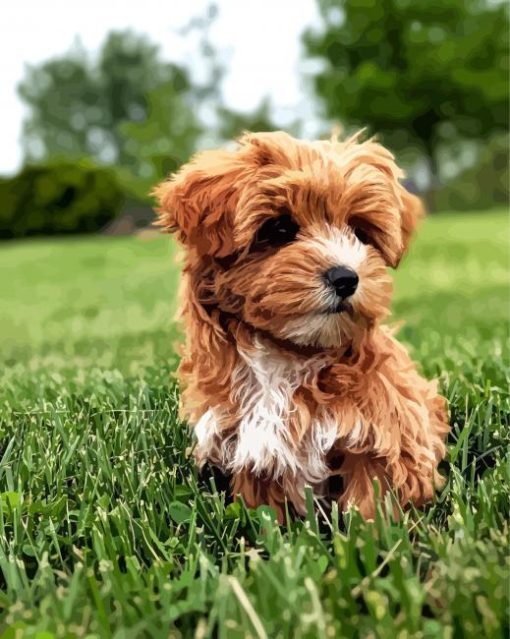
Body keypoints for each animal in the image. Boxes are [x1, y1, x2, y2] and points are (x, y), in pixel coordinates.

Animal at [153, 130, 448, 520]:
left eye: (360, 233)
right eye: (279, 228)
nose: (346, 278)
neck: (288, 354)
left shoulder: (384, 433)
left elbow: (372, 499)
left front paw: (376, 530)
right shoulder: (250, 448)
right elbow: (265, 512)